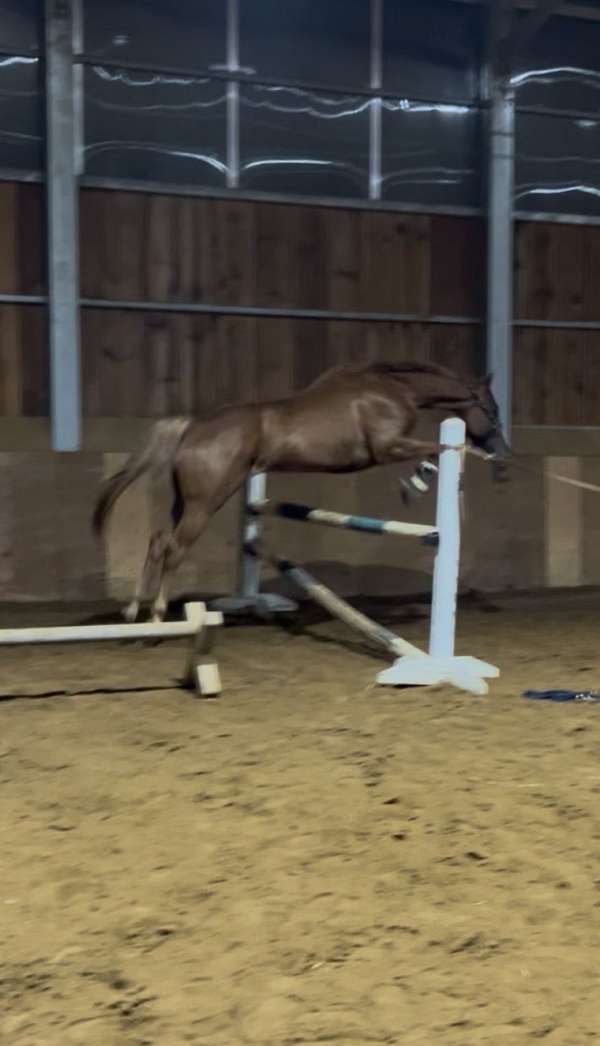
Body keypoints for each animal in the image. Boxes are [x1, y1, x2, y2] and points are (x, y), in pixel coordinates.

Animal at [93, 361, 510, 622]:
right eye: (492, 410)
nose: (505, 459)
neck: (392, 390)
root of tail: (191, 429)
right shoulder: (387, 447)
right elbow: (442, 448)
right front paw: (419, 483)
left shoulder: (390, 449)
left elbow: (432, 453)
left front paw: (417, 482)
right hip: (204, 504)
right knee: (174, 549)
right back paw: (157, 614)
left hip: (186, 503)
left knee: (157, 540)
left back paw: (133, 611)